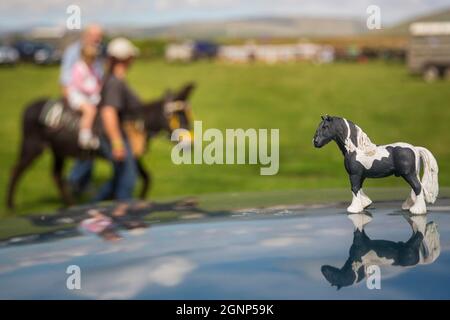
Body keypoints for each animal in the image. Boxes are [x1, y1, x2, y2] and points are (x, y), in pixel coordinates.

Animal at [6, 82, 197, 210]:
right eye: (179, 117)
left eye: (188, 116)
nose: (191, 145)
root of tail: (29, 106)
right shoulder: (121, 157)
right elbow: (122, 181)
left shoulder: (133, 158)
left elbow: (145, 178)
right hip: (32, 146)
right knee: (16, 170)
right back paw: (10, 205)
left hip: (58, 151)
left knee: (56, 175)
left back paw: (70, 205)